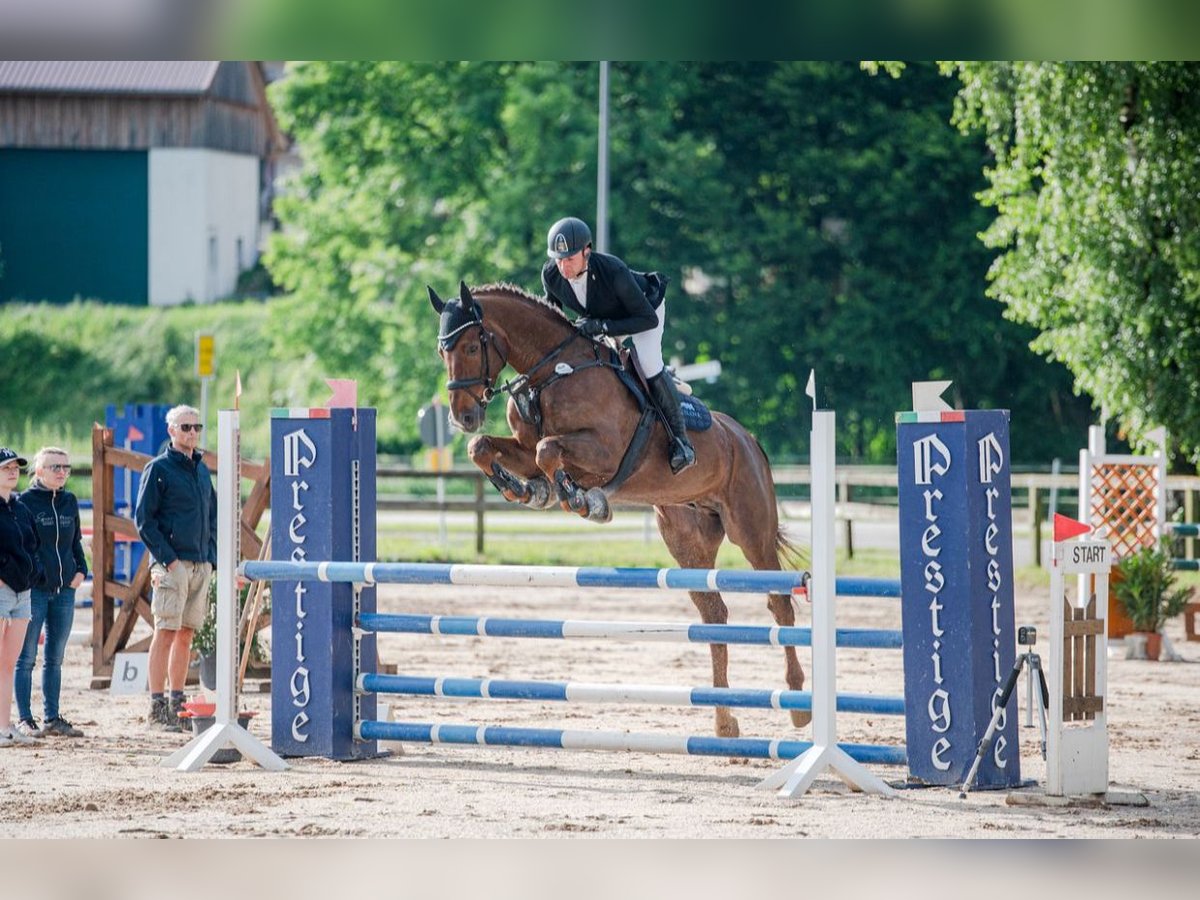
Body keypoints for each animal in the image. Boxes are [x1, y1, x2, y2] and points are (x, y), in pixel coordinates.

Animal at [427, 283, 811, 739]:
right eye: (442, 351)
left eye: (471, 346)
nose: (463, 416)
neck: (550, 371)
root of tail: (748, 439)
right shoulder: (521, 445)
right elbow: (486, 448)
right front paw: (525, 489)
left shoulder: (604, 452)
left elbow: (547, 450)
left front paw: (582, 499)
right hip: (687, 539)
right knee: (714, 614)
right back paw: (724, 720)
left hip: (750, 530)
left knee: (779, 602)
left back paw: (798, 703)